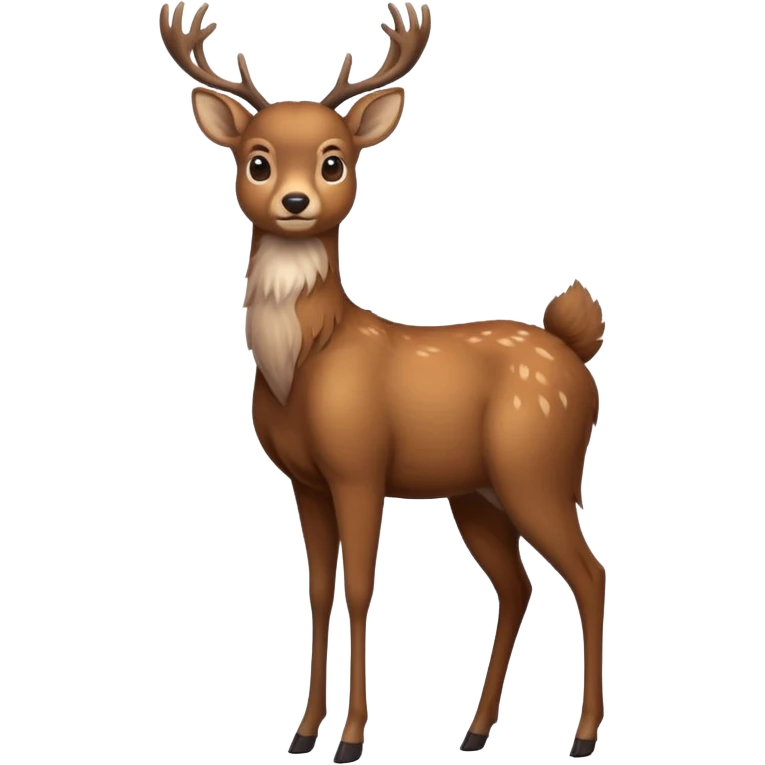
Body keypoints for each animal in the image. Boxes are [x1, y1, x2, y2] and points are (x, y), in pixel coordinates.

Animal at [159, 1, 607, 760]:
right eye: (257, 160)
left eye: (334, 159)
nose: (296, 200)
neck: (303, 366)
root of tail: (574, 349)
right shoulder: (305, 480)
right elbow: (317, 588)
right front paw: (303, 731)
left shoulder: (360, 465)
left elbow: (362, 587)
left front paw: (349, 739)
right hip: (476, 493)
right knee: (517, 586)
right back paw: (475, 731)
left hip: (537, 470)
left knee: (589, 572)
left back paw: (579, 735)